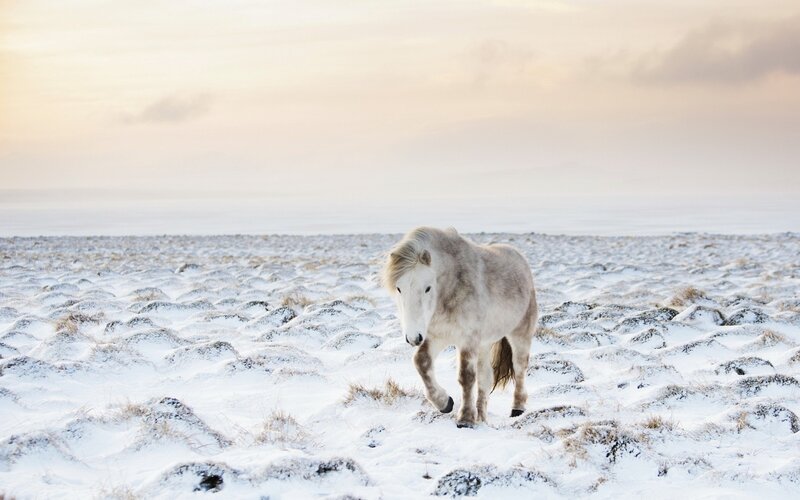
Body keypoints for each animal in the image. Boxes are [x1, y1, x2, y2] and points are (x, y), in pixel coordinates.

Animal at [383, 227, 538, 428]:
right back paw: (482, 417)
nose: (413, 338)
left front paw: (465, 419)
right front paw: (444, 403)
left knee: (519, 368)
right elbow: (421, 362)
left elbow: (466, 377)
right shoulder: (437, 336)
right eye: (399, 288)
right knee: (485, 378)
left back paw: (517, 409)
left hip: (520, 332)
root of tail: (520, 258)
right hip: (484, 344)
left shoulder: (467, 339)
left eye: (427, 288)